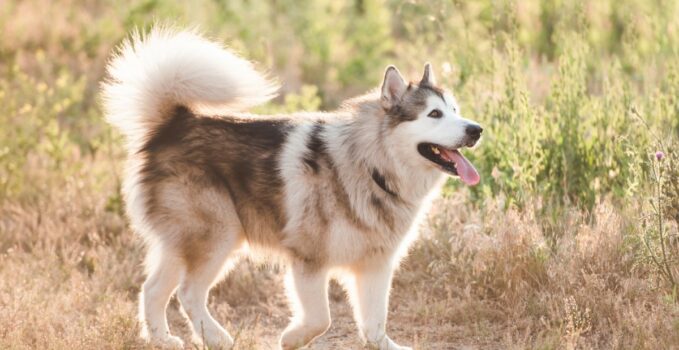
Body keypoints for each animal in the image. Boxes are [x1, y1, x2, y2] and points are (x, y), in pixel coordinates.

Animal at [101, 28, 484, 350]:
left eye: (455, 110)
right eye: (434, 114)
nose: (476, 130)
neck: (372, 167)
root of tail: (175, 122)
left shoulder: (375, 266)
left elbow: (375, 325)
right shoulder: (308, 260)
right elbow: (320, 319)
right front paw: (291, 338)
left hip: (185, 243)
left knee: (153, 290)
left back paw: (161, 340)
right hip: (218, 236)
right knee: (188, 293)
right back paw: (216, 338)